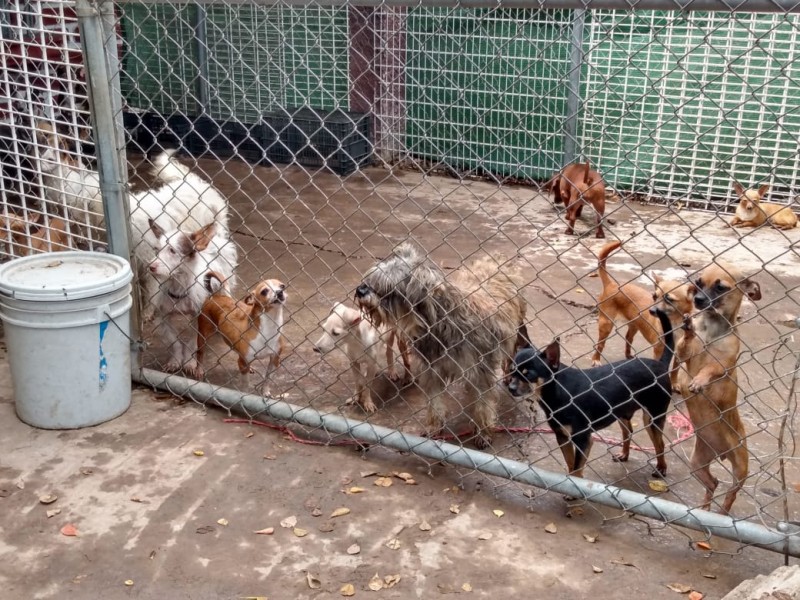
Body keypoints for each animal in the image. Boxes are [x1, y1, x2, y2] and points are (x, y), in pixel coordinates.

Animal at [354, 241, 528, 448]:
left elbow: (483, 405)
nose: (360, 290)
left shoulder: (481, 373)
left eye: (389, 286)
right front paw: (434, 427)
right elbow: (435, 402)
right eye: (373, 278)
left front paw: (483, 432)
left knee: (509, 356)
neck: (437, 323)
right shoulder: (432, 371)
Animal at [506, 310, 676, 478]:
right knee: (628, 431)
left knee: (660, 444)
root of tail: (660, 364)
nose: (510, 387)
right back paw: (624, 454)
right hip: (622, 413)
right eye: (512, 370)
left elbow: (576, 468)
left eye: (529, 375)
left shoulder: (583, 439)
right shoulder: (563, 437)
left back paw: (661, 468)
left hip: (652, 418)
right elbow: (571, 464)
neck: (558, 390)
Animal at [676, 262, 764, 516]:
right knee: (713, 483)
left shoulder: (724, 365)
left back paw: (722, 514)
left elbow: (710, 368)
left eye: (720, 288)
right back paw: (704, 508)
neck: (711, 331)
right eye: (698, 283)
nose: (697, 300)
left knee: (730, 494)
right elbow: (685, 345)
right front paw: (688, 328)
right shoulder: (683, 354)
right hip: (697, 465)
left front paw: (699, 381)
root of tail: (720, 454)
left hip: (740, 470)